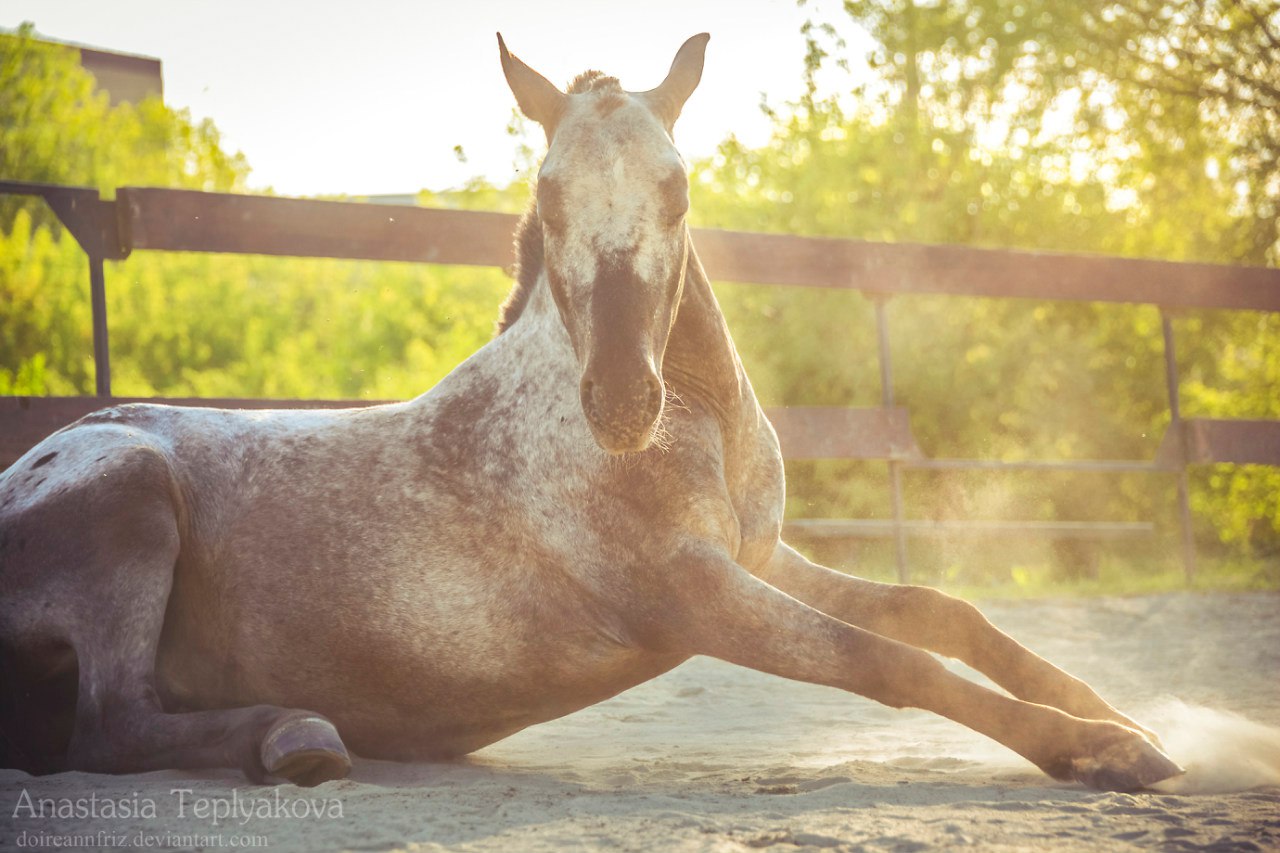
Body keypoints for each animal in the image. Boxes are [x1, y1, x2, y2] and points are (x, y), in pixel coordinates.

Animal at [0, 33, 1177, 788]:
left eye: (680, 188)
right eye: (548, 192)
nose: (620, 401)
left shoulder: (758, 554)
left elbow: (939, 611)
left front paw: (1118, 712)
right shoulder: (693, 592)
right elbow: (885, 659)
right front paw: (1103, 750)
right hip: (130, 489)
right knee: (111, 728)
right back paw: (293, 736)